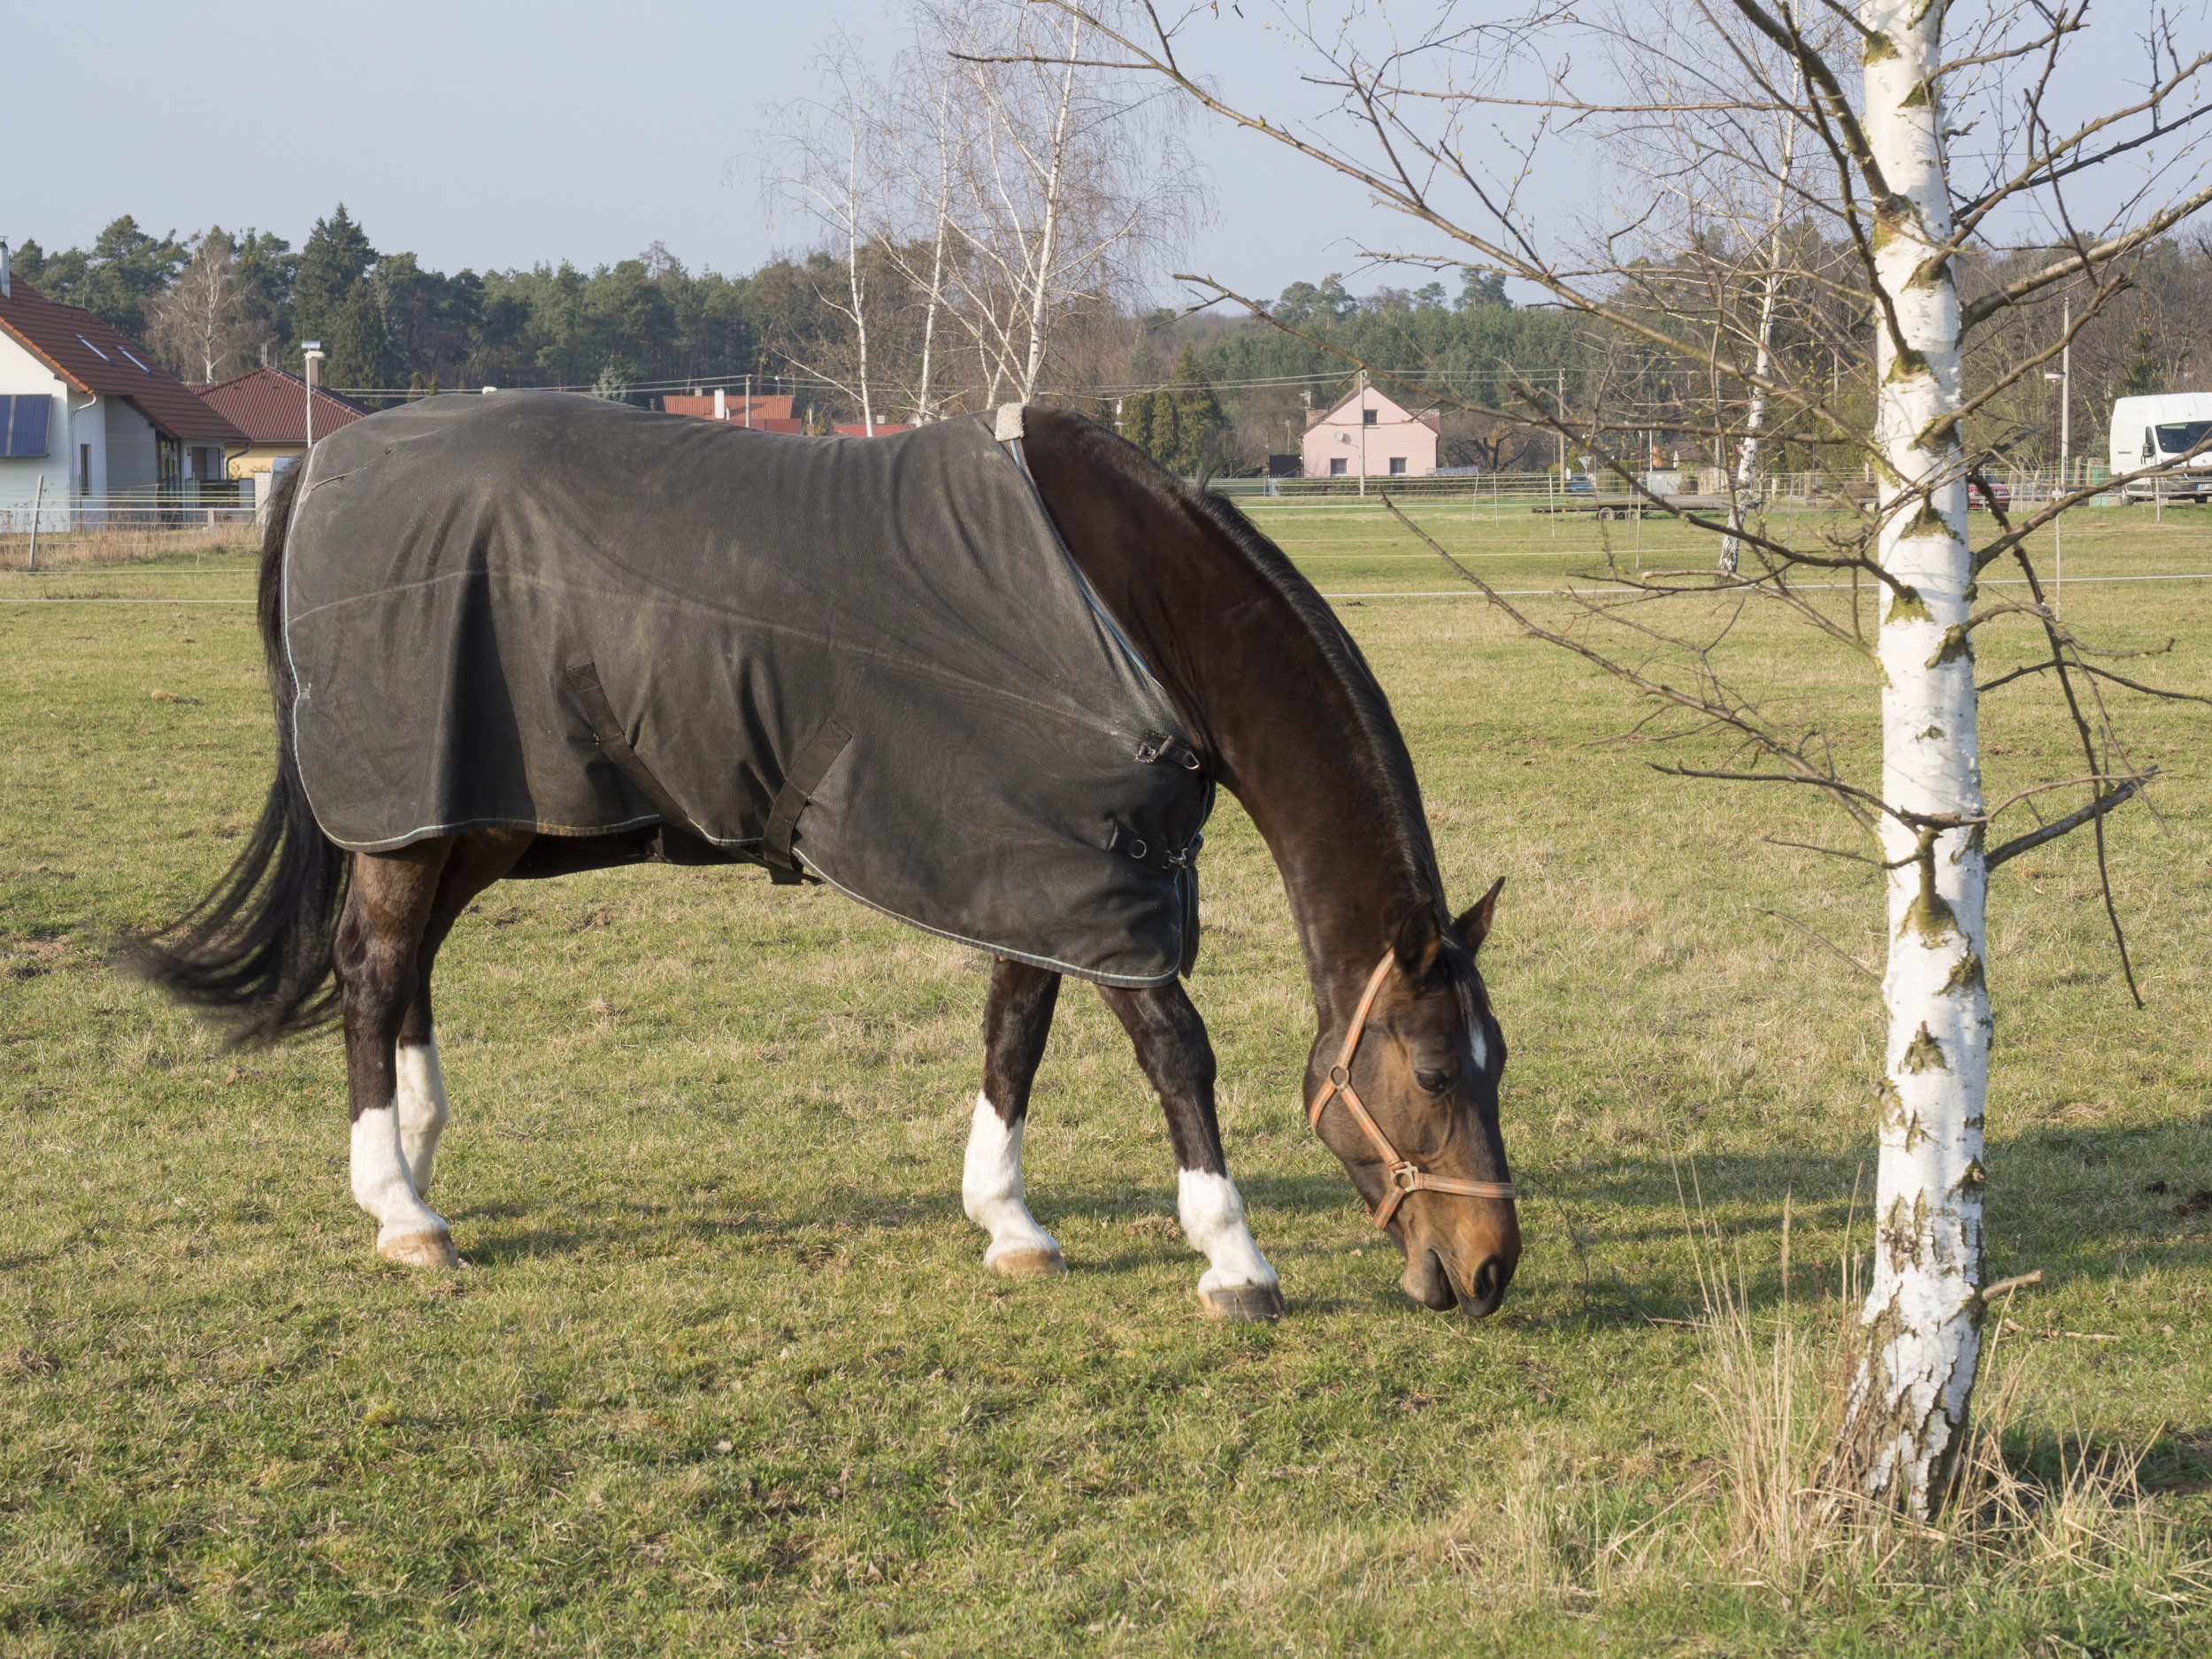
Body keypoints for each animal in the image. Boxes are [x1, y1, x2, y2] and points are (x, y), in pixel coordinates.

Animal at [133, 403, 1520, 1321]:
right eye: (1434, 1071)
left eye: (1495, 1061)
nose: (1490, 1266)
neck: (1132, 609)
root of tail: (325, 464)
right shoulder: (1093, 886)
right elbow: (1177, 1050)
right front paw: (1234, 1260)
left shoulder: (1045, 868)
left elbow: (1014, 1035)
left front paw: (1010, 1224)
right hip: (425, 817)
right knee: (373, 968)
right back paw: (405, 1212)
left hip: (478, 815)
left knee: (406, 963)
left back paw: (413, 1166)